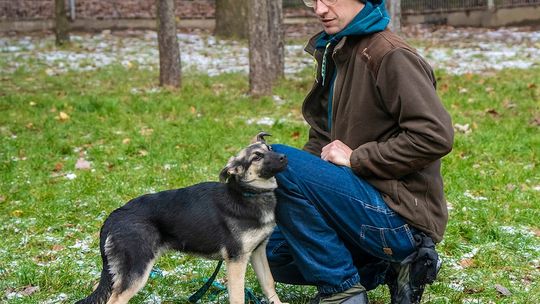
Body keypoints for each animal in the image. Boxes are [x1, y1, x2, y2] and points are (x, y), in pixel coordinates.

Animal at [76, 133, 288, 304]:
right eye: (257, 157)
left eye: (270, 149)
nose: (284, 157)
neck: (248, 194)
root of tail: (115, 215)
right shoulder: (237, 260)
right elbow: (237, 297)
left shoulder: (258, 251)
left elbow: (268, 283)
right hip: (136, 270)